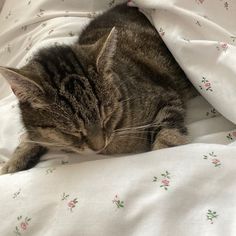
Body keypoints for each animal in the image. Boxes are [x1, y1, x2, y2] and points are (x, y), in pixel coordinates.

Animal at [0, 2, 195, 174]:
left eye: (106, 117)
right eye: (72, 131)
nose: (99, 147)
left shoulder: (168, 95)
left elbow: (167, 134)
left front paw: (166, 152)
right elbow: (30, 137)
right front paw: (14, 160)